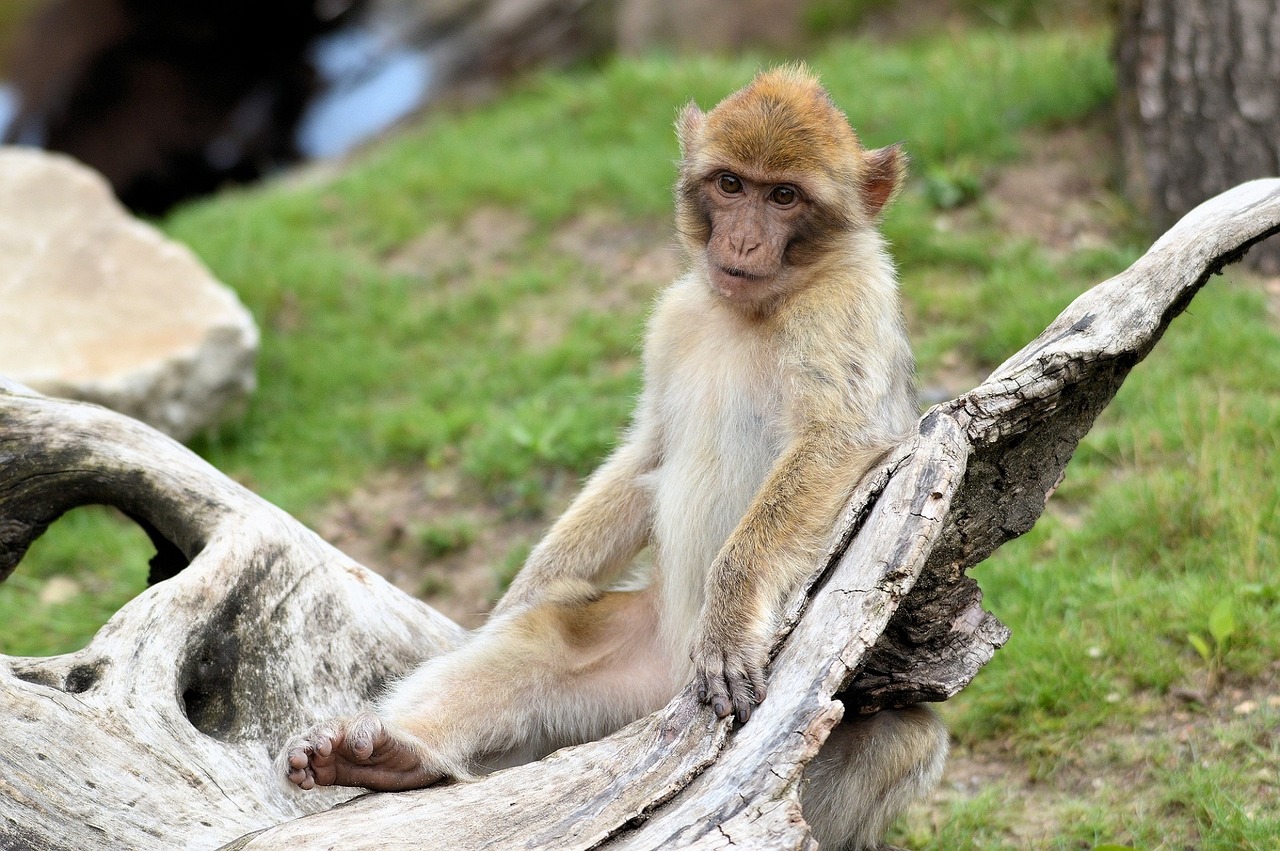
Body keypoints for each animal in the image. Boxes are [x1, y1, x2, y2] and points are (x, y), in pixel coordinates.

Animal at [285, 63, 947, 844]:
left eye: (784, 195)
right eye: (731, 185)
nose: (742, 241)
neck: (753, 308)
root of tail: (664, 698)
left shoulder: (846, 306)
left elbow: (835, 442)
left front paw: (730, 618)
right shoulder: (675, 316)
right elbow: (645, 454)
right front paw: (520, 592)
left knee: (898, 739)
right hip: (632, 678)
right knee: (547, 639)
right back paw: (392, 755)